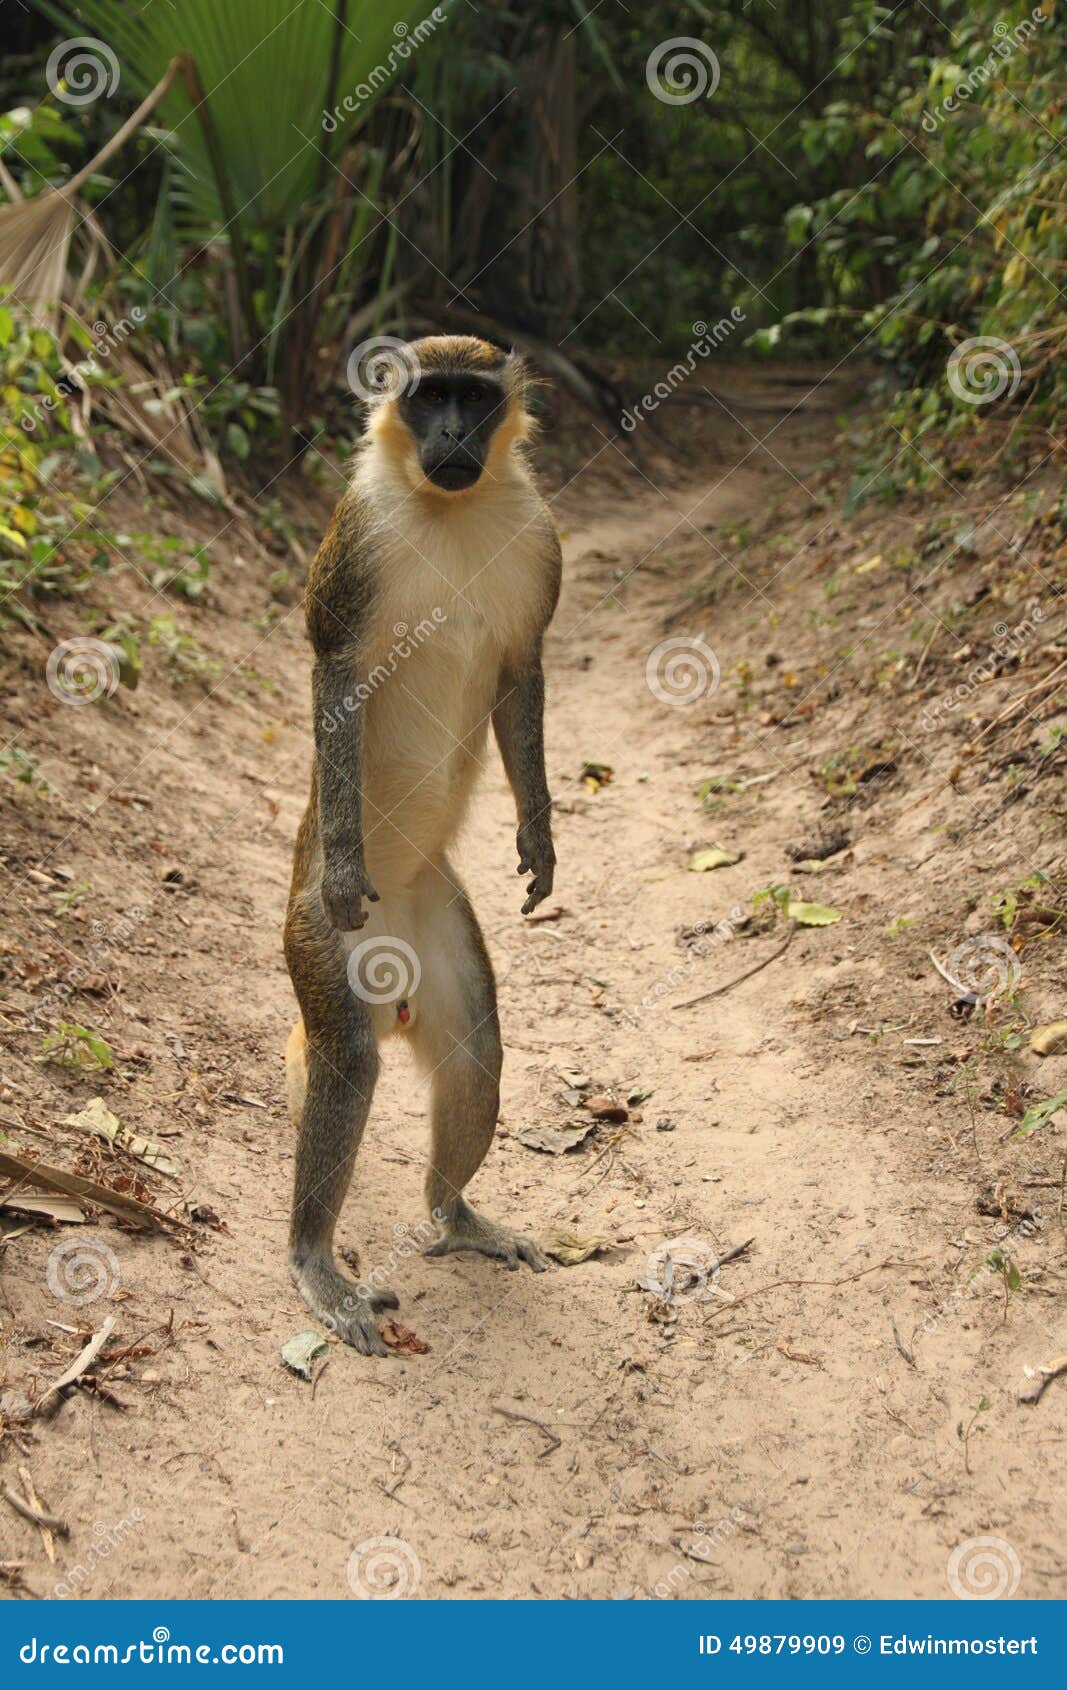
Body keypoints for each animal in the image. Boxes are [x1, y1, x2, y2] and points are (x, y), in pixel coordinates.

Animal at [284, 336, 568, 1352]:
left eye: (472, 399)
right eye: (426, 396)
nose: (449, 435)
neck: (448, 510)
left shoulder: (538, 539)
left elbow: (520, 671)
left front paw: (540, 836)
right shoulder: (354, 539)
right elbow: (335, 671)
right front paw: (342, 861)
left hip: (438, 918)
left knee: (475, 1052)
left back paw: (453, 1213)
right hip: (323, 940)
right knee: (347, 1063)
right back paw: (314, 1260)